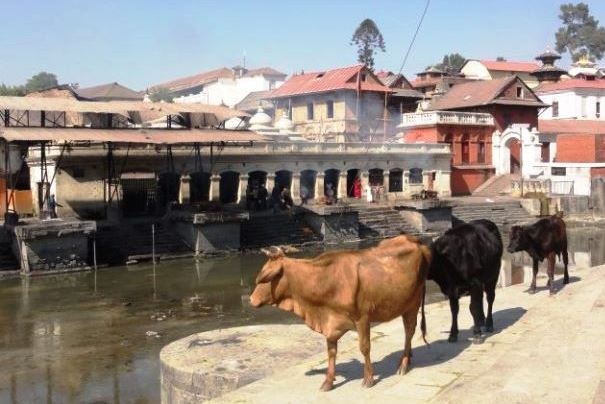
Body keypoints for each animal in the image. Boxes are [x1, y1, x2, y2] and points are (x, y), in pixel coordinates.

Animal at [249, 235, 430, 390]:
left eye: (265, 278)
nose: (251, 299)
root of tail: (412, 239)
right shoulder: (331, 323)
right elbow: (331, 351)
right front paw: (328, 382)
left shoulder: (362, 318)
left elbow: (364, 347)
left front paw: (369, 379)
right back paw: (409, 357)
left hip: (413, 303)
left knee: (409, 331)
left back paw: (403, 364)